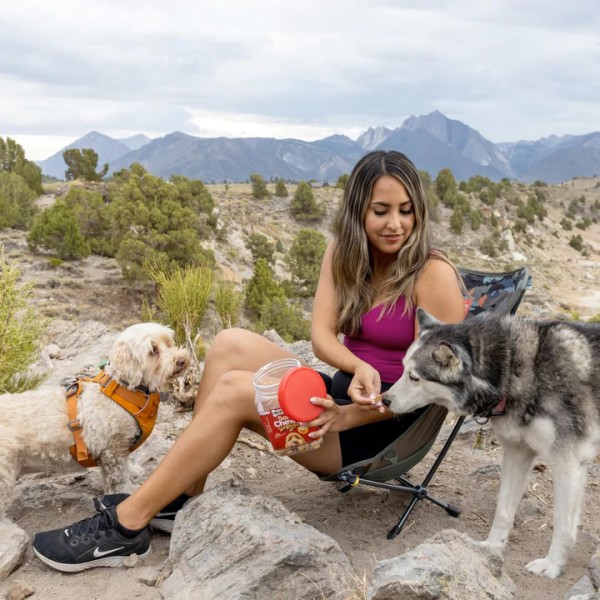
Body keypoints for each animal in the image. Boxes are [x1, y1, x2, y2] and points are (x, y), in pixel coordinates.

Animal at [0, 322, 190, 520]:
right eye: (153, 351)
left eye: (168, 343)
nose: (181, 360)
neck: (125, 390)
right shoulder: (112, 451)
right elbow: (118, 480)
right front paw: (126, 492)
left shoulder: (121, 448)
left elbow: (127, 467)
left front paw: (134, 471)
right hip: (4, 473)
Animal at [383, 308, 600, 579]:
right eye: (402, 368)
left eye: (414, 377)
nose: (384, 399)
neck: (519, 368)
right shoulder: (517, 453)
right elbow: (503, 510)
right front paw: (490, 549)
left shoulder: (567, 463)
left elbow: (562, 525)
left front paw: (551, 566)